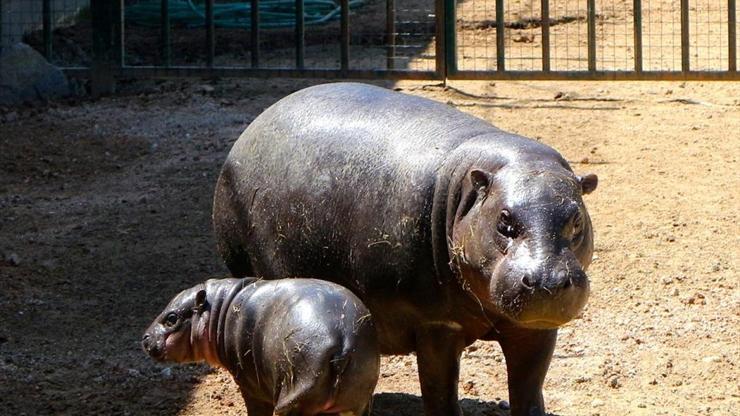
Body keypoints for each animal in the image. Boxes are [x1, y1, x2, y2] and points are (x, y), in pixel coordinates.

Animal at [142, 276, 378, 416]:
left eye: (171, 318)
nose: (144, 338)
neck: (218, 310)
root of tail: (344, 342)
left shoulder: (248, 385)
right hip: (357, 401)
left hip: (292, 400)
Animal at [211, 82, 600, 416]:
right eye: (504, 220)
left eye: (576, 219)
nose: (548, 281)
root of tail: (252, 127)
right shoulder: (435, 326)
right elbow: (440, 394)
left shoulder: (534, 328)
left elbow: (528, 390)